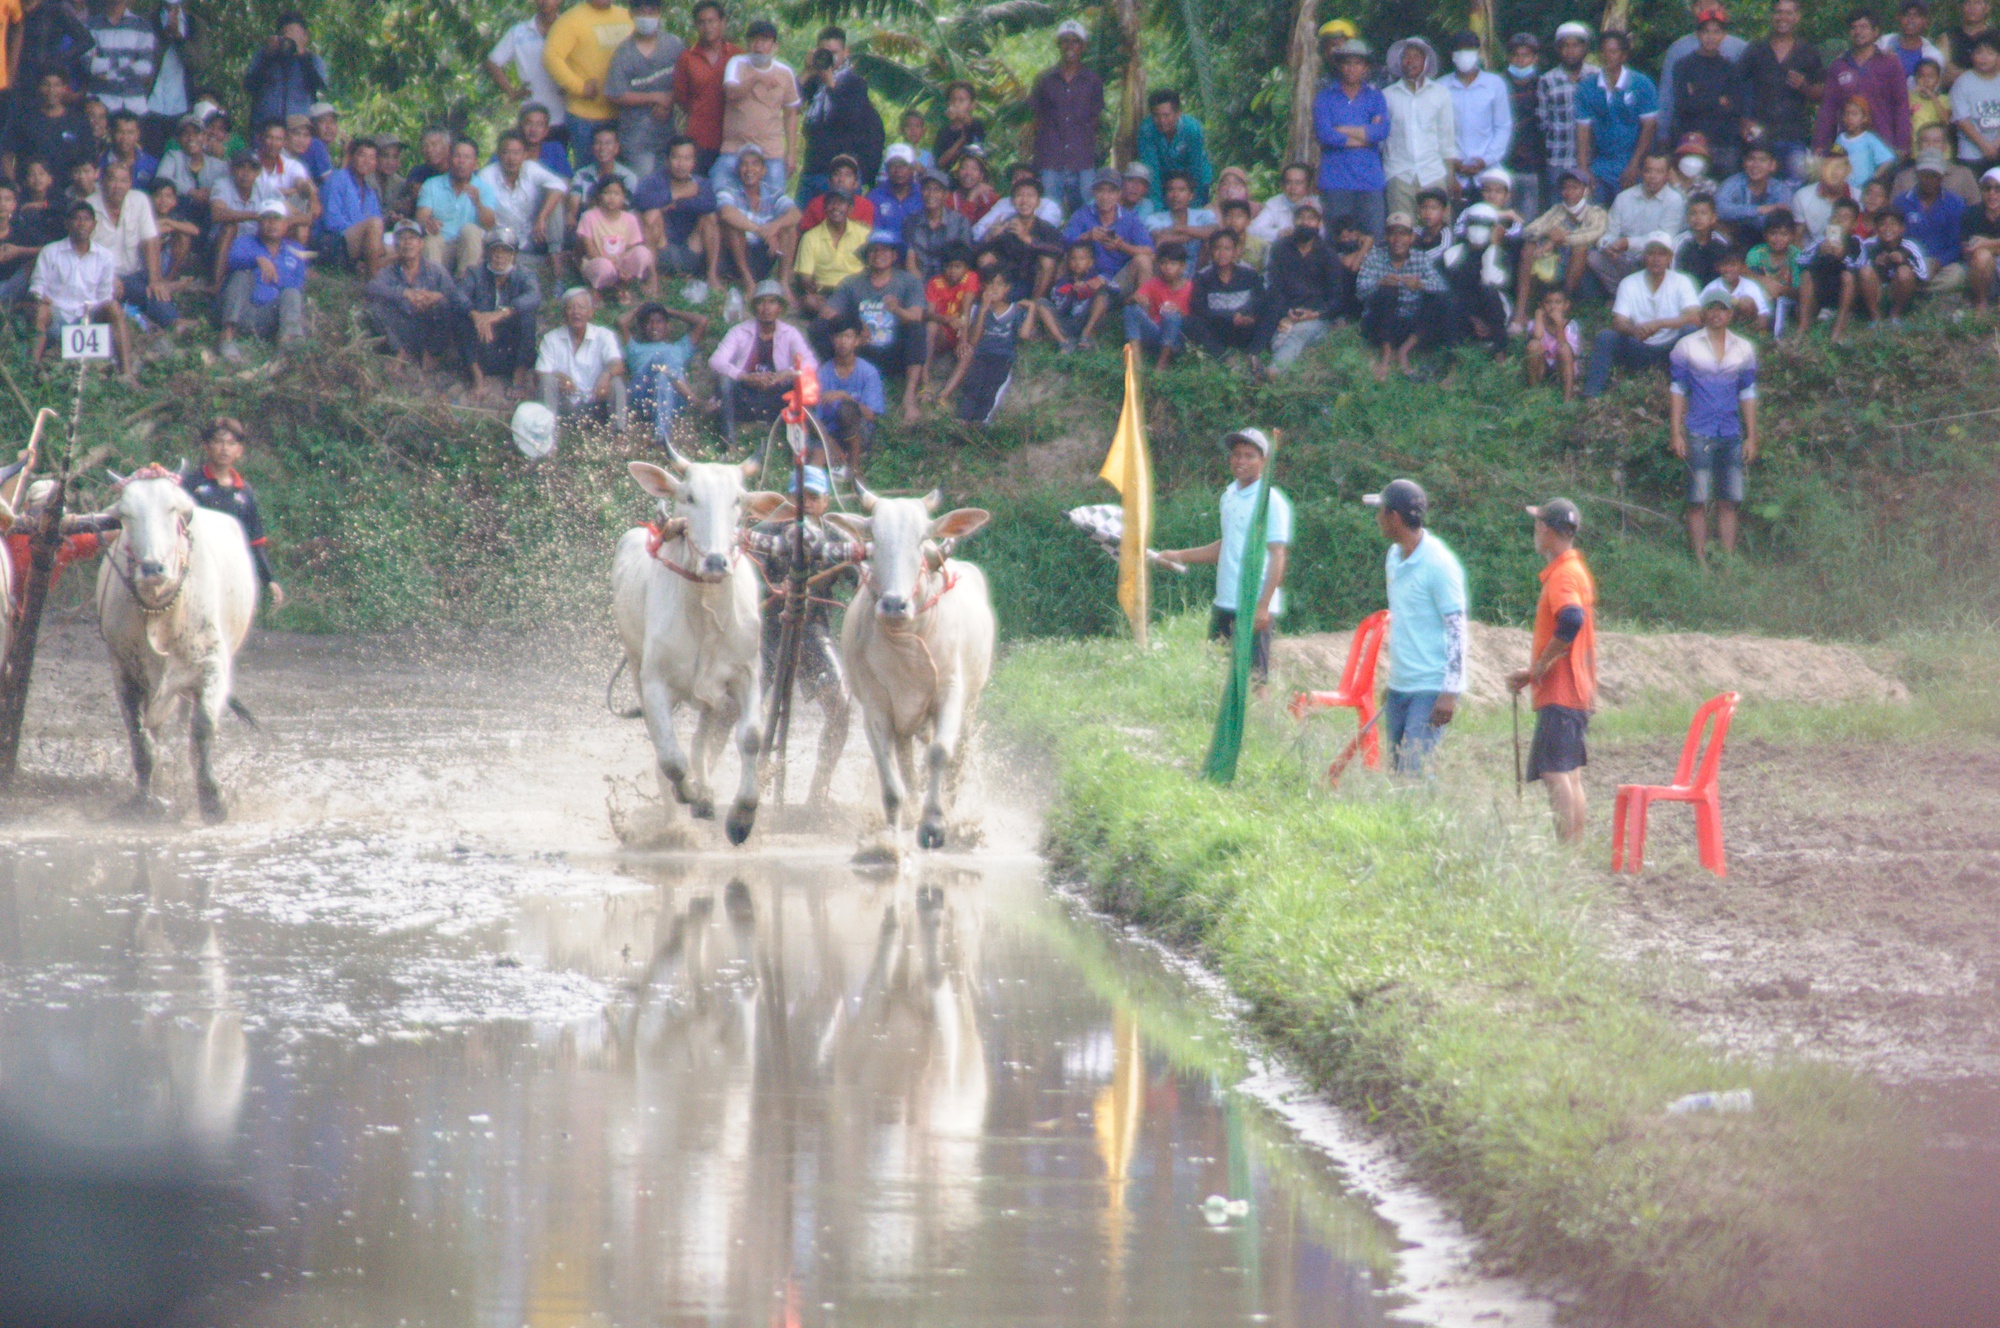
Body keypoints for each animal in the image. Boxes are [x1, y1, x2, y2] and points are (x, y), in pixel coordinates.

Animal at [97, 464, 258, 820]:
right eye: (125, 514)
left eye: (173, 509)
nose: (152, 568)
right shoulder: (122, 671)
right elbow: (140, 738)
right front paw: (143, 799)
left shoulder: (211, 664)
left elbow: (202, 728)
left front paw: (212, 799)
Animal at [608, 446, 780, 840]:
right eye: (689, 497)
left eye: (738, 500)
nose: (716, 562)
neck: (705, 614)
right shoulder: (654, 682)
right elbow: (671, 758)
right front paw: (687, 793)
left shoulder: (746, 674)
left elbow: (750, 737)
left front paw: (742, 817)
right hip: (636, 666)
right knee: (665, 746)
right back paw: (682, 811)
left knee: (703, 740)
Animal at [820, 488, 992, 852]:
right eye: (872, 539)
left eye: (922, 538)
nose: (894, 604)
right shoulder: (876, 706)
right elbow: (890, 779)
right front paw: (892, 838)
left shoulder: (950, 692)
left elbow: (940, 753)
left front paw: (934, 824)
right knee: (906, 762)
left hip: (971, 703)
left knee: (958, 757)